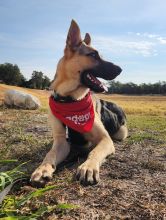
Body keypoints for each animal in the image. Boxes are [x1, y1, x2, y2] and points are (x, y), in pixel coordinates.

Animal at [30, 20, 127, 186]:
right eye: (93, 55)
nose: (120, 69)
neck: (70, 99)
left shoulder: (105, 139)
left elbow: (94, 151)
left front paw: (88, 167)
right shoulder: (61, 141)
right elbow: (50, 154)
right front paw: (42, 169)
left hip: (121, 133)